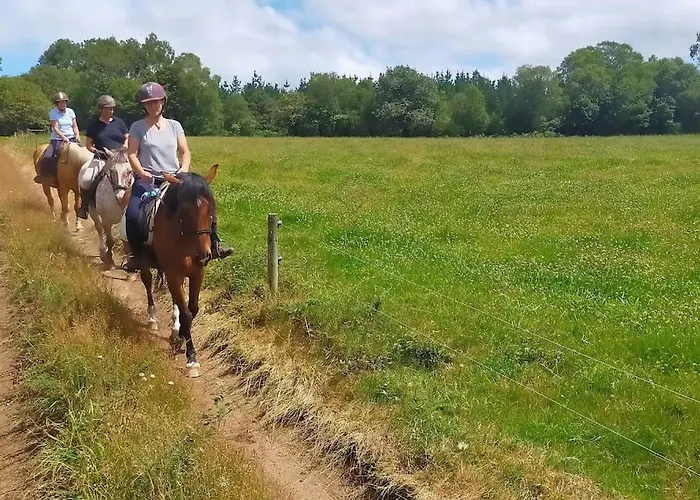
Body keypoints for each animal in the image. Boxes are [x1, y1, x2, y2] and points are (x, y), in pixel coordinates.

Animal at [120, 164, 220, 378]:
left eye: (211, 210)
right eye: (184, 211)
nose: (204, 255)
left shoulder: (197, 273)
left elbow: (192, 309)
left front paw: (179, 337)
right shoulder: (174, 273)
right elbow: (187, 313)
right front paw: (191, 359)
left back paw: (174, 328)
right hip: (145, 263)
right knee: (148, 282)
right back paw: (152, 318)